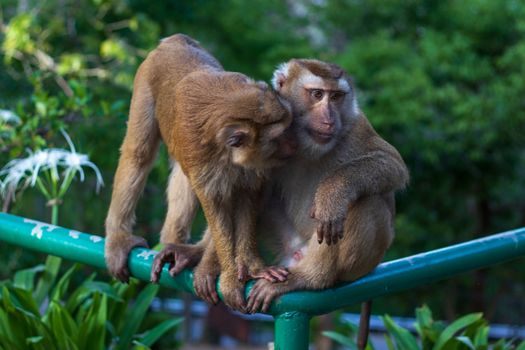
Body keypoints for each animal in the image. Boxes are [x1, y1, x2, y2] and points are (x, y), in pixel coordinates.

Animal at [104, 33, 292, 308]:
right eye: (280, 138)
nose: (293, 146)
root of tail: (177, 40)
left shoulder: (252, 165)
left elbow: (244, 197)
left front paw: (248, 265)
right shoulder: (201, 152)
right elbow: (215, 202)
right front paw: (229, 277)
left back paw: (182, 248)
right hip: (145, 79)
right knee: (138, 153)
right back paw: (120, 238)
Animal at [244, 58, 408, 314]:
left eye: (337, 97)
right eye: (317, 94)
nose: (329, 118)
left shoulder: (356, 124)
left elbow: (391, 163)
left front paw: (332, 195)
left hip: (362, 263)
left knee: (365, 201)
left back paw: (312, 278)